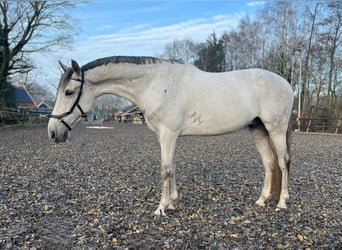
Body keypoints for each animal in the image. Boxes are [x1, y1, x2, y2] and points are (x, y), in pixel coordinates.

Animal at [48, 55, 294, 216]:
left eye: (68, 92)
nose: (53, 132)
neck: (155, 83)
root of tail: (287, 84)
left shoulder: (168, 133)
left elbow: (164, 170)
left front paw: (161, 207)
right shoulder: (165, 136)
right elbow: (171, 167)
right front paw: (173, 202)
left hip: (276, 128)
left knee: (283, 162)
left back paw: (282, 202)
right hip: (258, 128)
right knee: (269, 162)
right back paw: (261, 200)